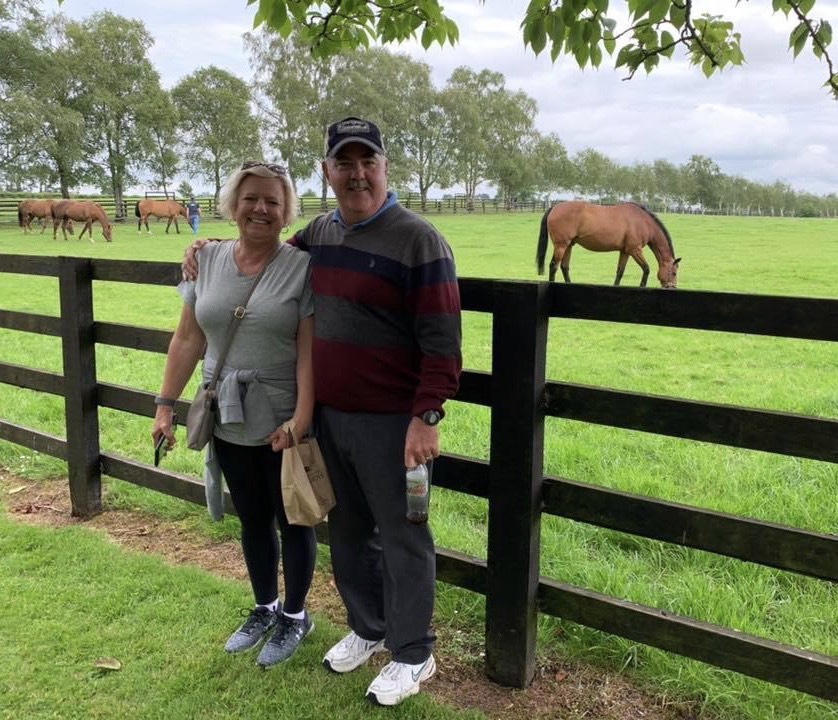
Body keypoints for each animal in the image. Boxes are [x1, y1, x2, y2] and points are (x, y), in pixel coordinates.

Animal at [540, 201, 684, 288]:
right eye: (674, 273)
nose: (673, 287)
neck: (643, 221)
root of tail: (555, 207)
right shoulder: (635, 250)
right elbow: (646, 269)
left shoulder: (625, 251)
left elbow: (620, 272)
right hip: (561, 246)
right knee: (553, 266)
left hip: (569, 245)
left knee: (564, 267)